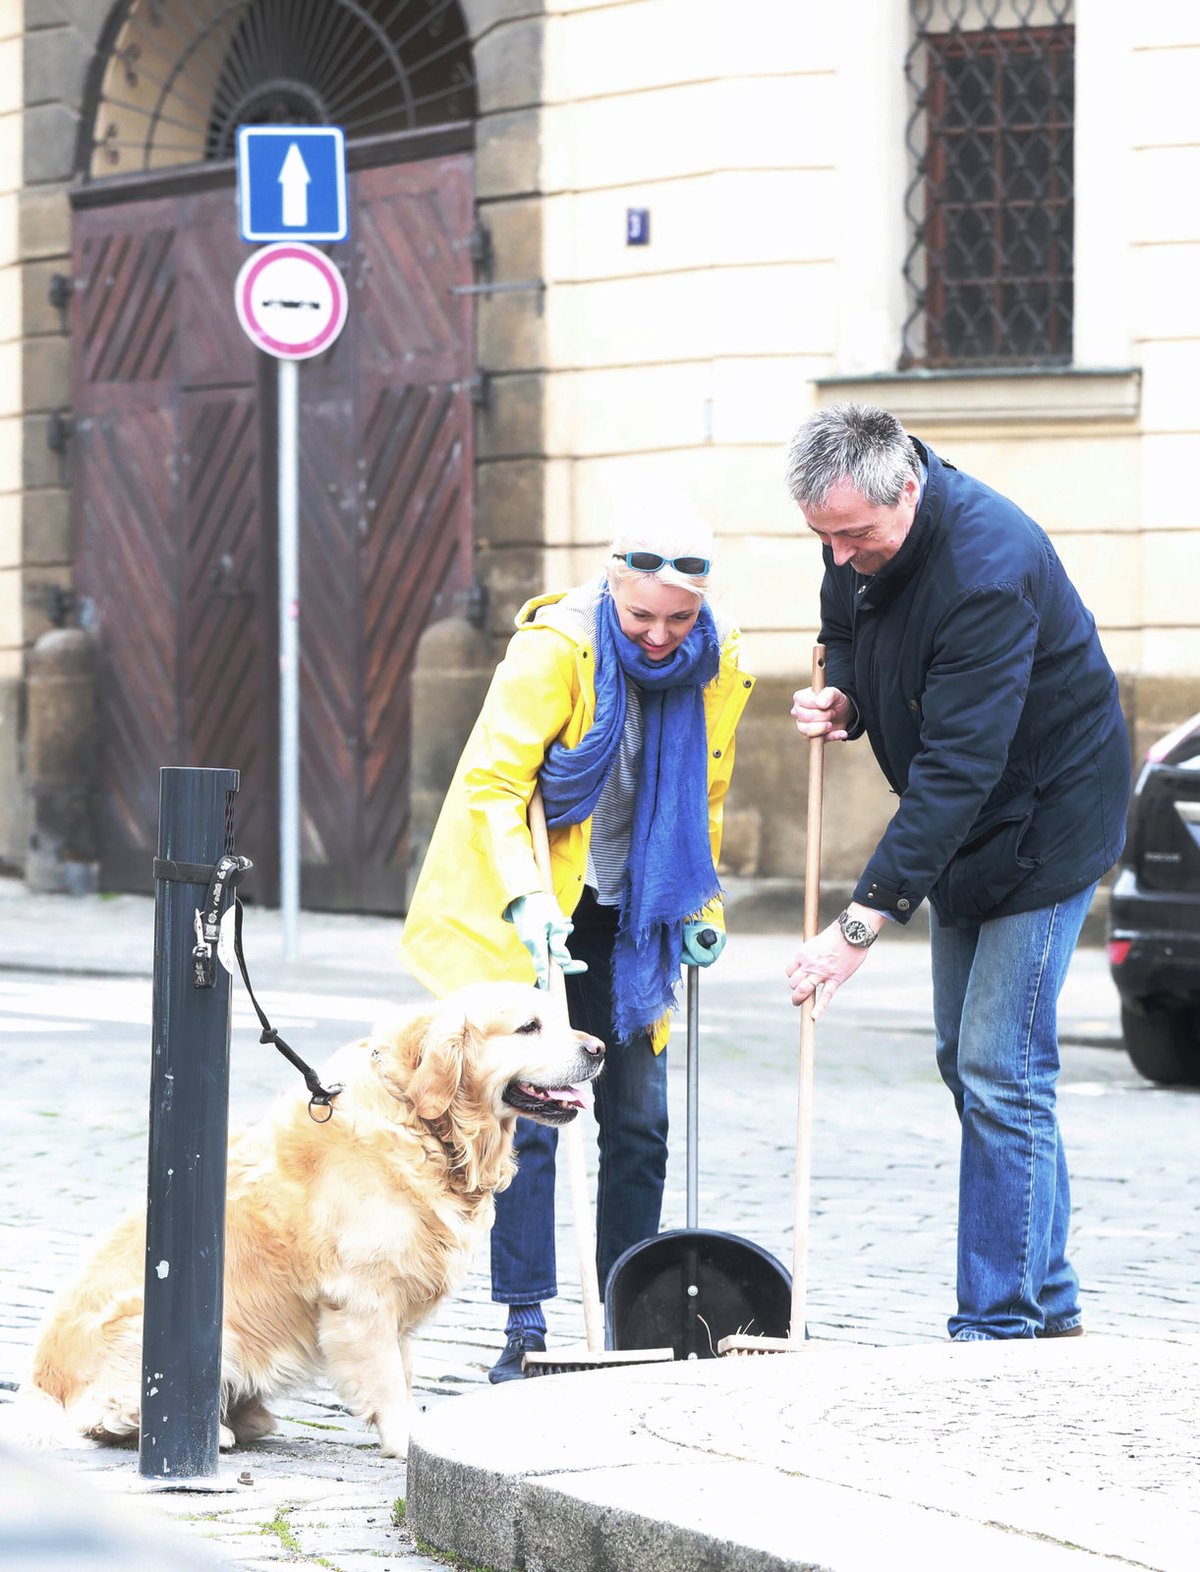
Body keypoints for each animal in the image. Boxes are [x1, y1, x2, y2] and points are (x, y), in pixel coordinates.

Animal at [11, 980, 600, 1458]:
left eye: (558, 1017)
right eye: (529, 1027)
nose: (599, 1049)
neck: (420, 1120)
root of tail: (41, 1383)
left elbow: (405, 1373)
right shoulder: (362, 1298)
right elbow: (388, 1381)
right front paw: (404, 1442)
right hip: (185, 1332)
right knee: (106, 1417)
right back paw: (210, 1430)